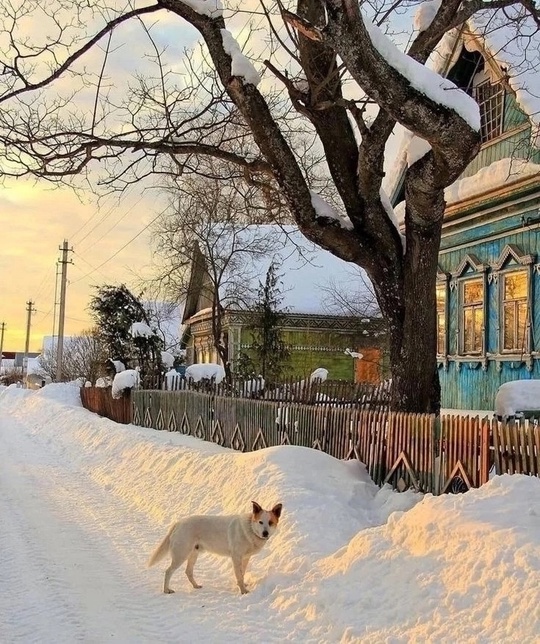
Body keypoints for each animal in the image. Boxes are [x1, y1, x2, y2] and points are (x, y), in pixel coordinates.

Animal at [148, 500, 282, 596]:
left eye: (270, 523)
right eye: (260, 522)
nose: (265, 533)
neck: (250, 528)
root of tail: (178, 523)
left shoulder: (245, 558)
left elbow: (242, 573)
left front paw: (242, 585)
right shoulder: (236, 557)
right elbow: (239, 574)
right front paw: (243, 591)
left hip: (193, 554)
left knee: (188, 571)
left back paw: (196, 586)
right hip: (181, 554)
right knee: (168, 571)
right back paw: (167, 590)